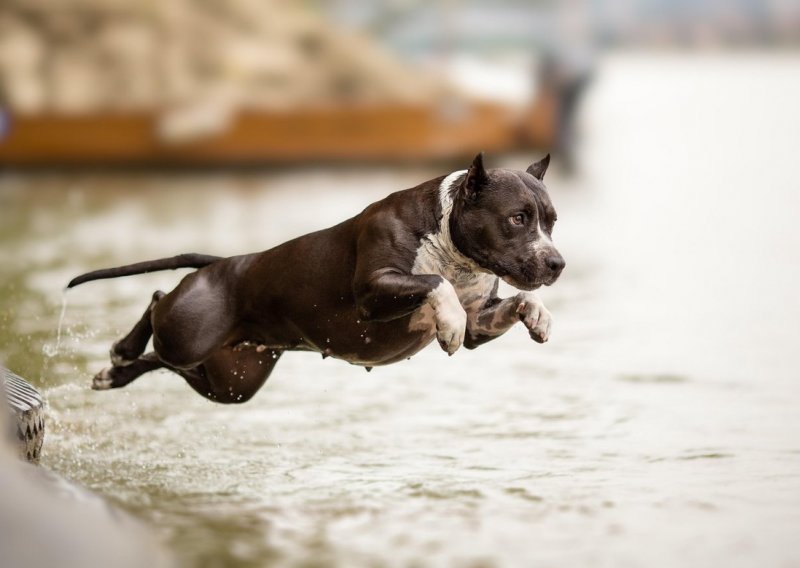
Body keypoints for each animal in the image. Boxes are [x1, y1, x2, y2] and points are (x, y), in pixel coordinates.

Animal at [69, 154, 564, 404]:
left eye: (552, 222)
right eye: (517, 218)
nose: (557, 263)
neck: (451, 247)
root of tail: (225, 262)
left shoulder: (483, 320)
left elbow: (518, 303)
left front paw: (539, 316)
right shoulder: (374, 291)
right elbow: (434, 286)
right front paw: (449, 322)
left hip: (231, 381)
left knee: (164, 356)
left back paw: (113, 374)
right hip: (189, 335)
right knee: (156, 302)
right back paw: (122, 350)